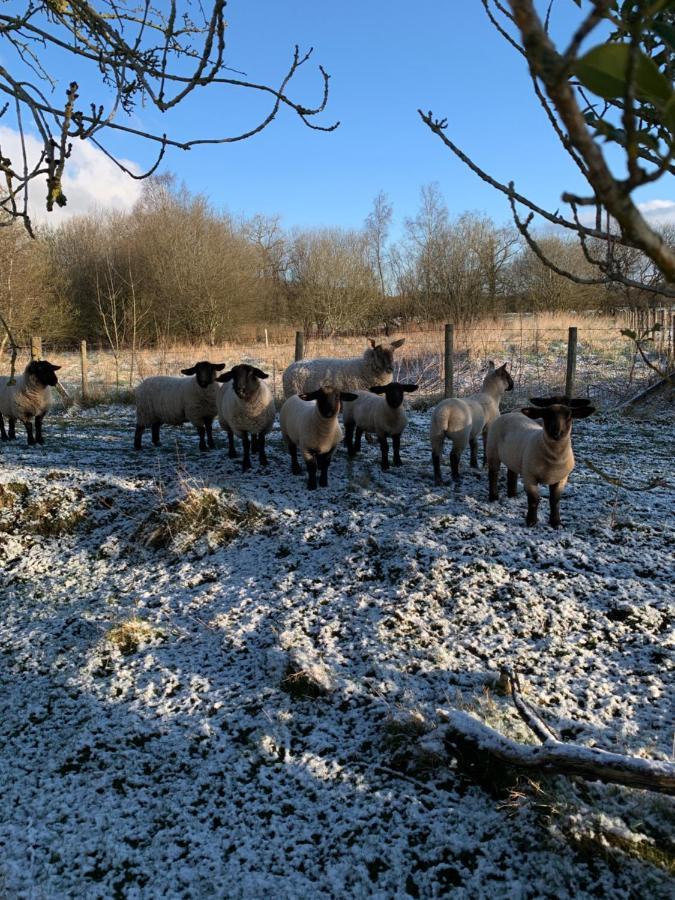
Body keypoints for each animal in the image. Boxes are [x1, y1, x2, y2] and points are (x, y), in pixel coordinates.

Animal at [486, 396, 596, 528]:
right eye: (546, 415)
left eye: (569, 416)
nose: (556, 433)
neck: (554, 457)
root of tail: (508, 414)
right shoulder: (530, 477)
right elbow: (534, 499)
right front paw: (531, 521)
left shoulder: (562, 478)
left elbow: (555, 500)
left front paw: (556, 522)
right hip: (492, 451)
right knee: (493, 474)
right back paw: (493, 497)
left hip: (513, 456)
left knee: (511, 474)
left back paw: (512, 495)